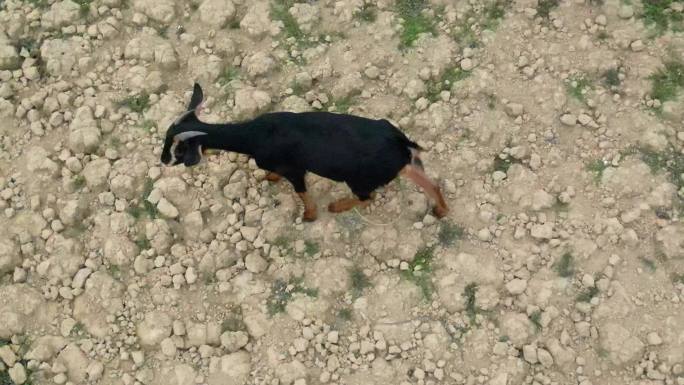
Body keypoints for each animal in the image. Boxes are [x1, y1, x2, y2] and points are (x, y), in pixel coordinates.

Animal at [160, 83, 448, 222]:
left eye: (179, 148)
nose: (163, 160)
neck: (254, 135)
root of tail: (400, 143)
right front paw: (271, 178)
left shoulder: (295, 170)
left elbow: (302, 192)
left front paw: (309, 216)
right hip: (405, 163)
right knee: (429, 181)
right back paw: (441, 210)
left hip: (360, 180)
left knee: (368, 198)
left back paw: (336, 206)